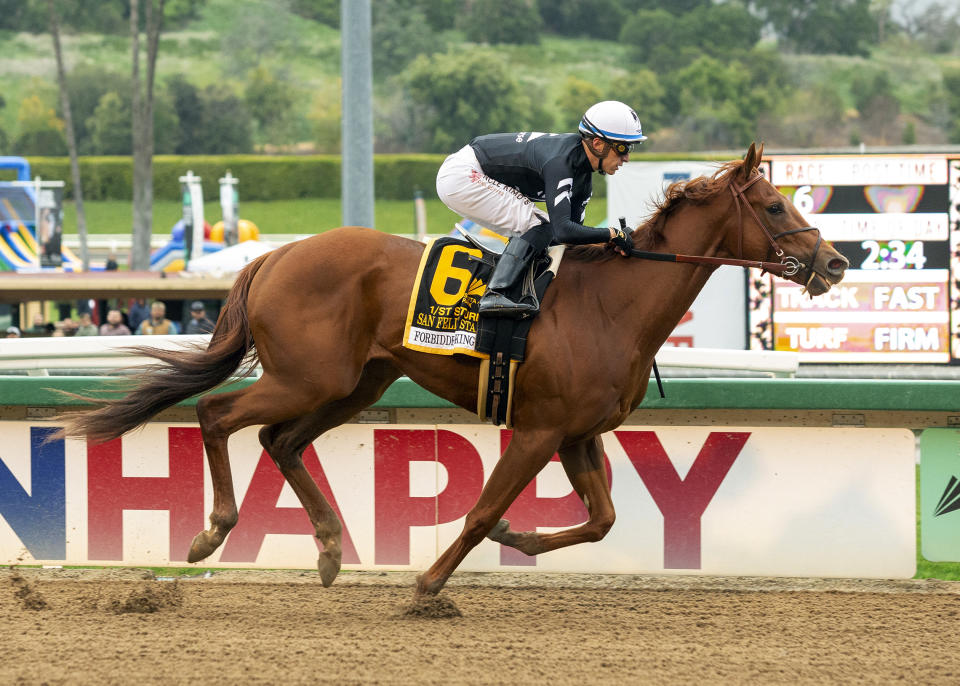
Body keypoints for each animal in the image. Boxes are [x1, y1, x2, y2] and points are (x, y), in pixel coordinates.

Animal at [63, 144, 848, 596]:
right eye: (774, 205)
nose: (835, 262)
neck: (610, 303)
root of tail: (278, 253)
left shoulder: (577, 433)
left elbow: (600, 519)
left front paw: (520, 543)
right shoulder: (538, 431)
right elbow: (480, 511)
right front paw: (431, 583)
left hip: (357, 382)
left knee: (279, 441)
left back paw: (327, 548)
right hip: (308, 378)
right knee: (216, 414)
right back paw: (212, 532)